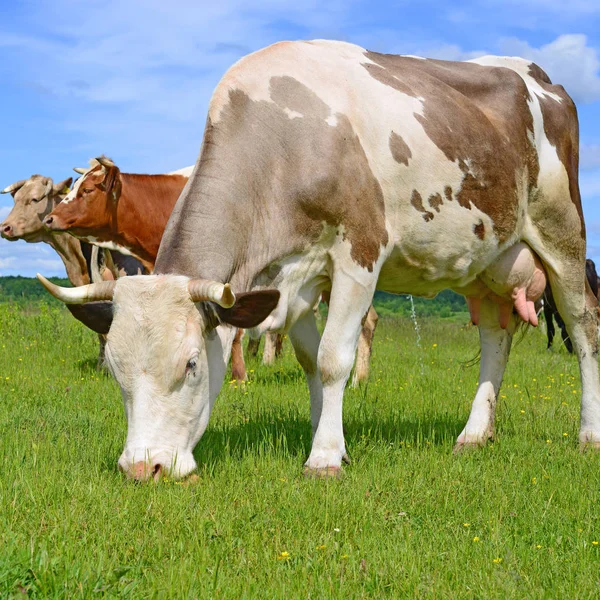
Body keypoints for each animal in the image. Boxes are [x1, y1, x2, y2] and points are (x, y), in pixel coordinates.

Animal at [38, 41, 600, 482]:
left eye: (192, 364)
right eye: (114, 368)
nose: (141, 468)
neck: (283, 141)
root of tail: (539, 75)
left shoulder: (358, 255)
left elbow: (333, 358)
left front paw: (325, 456)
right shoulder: (294, 278)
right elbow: (308, 359)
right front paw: (325, 431)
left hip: (562, 233)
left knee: (584, 325)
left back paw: (588, 434)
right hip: (489, 258)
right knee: (495, 337)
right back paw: (475, 434)